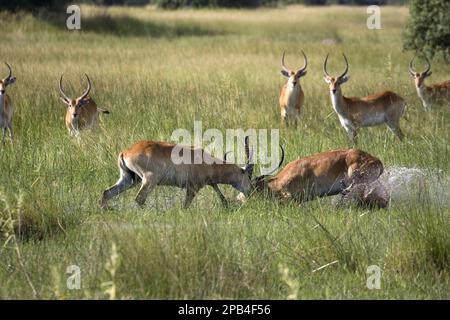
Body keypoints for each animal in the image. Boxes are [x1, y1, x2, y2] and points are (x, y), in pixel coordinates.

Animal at [101, 138, 255, 210]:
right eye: (248, 175)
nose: (251, 192)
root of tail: (126, 151)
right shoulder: (192, 188)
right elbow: (185, 205)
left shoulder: (207, 183)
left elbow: (220, 195)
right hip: (149, 181)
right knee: (139, 198)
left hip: (130, 180)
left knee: (107, 192)